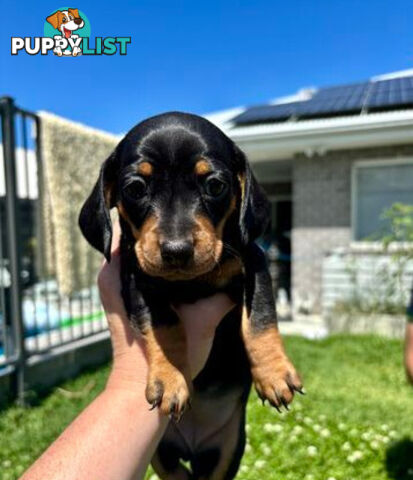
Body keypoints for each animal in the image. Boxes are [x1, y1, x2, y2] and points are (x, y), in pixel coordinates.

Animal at [79, 113, 300, 480]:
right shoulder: (138, 282)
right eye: (135, 189)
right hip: (161, 453)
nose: (176, 251)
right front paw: (171, 379)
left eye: (215, 185)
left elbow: (259, 318)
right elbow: (165, 326)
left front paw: (274, 374)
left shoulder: (254, 265)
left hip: (229, 447)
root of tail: (192, 447)